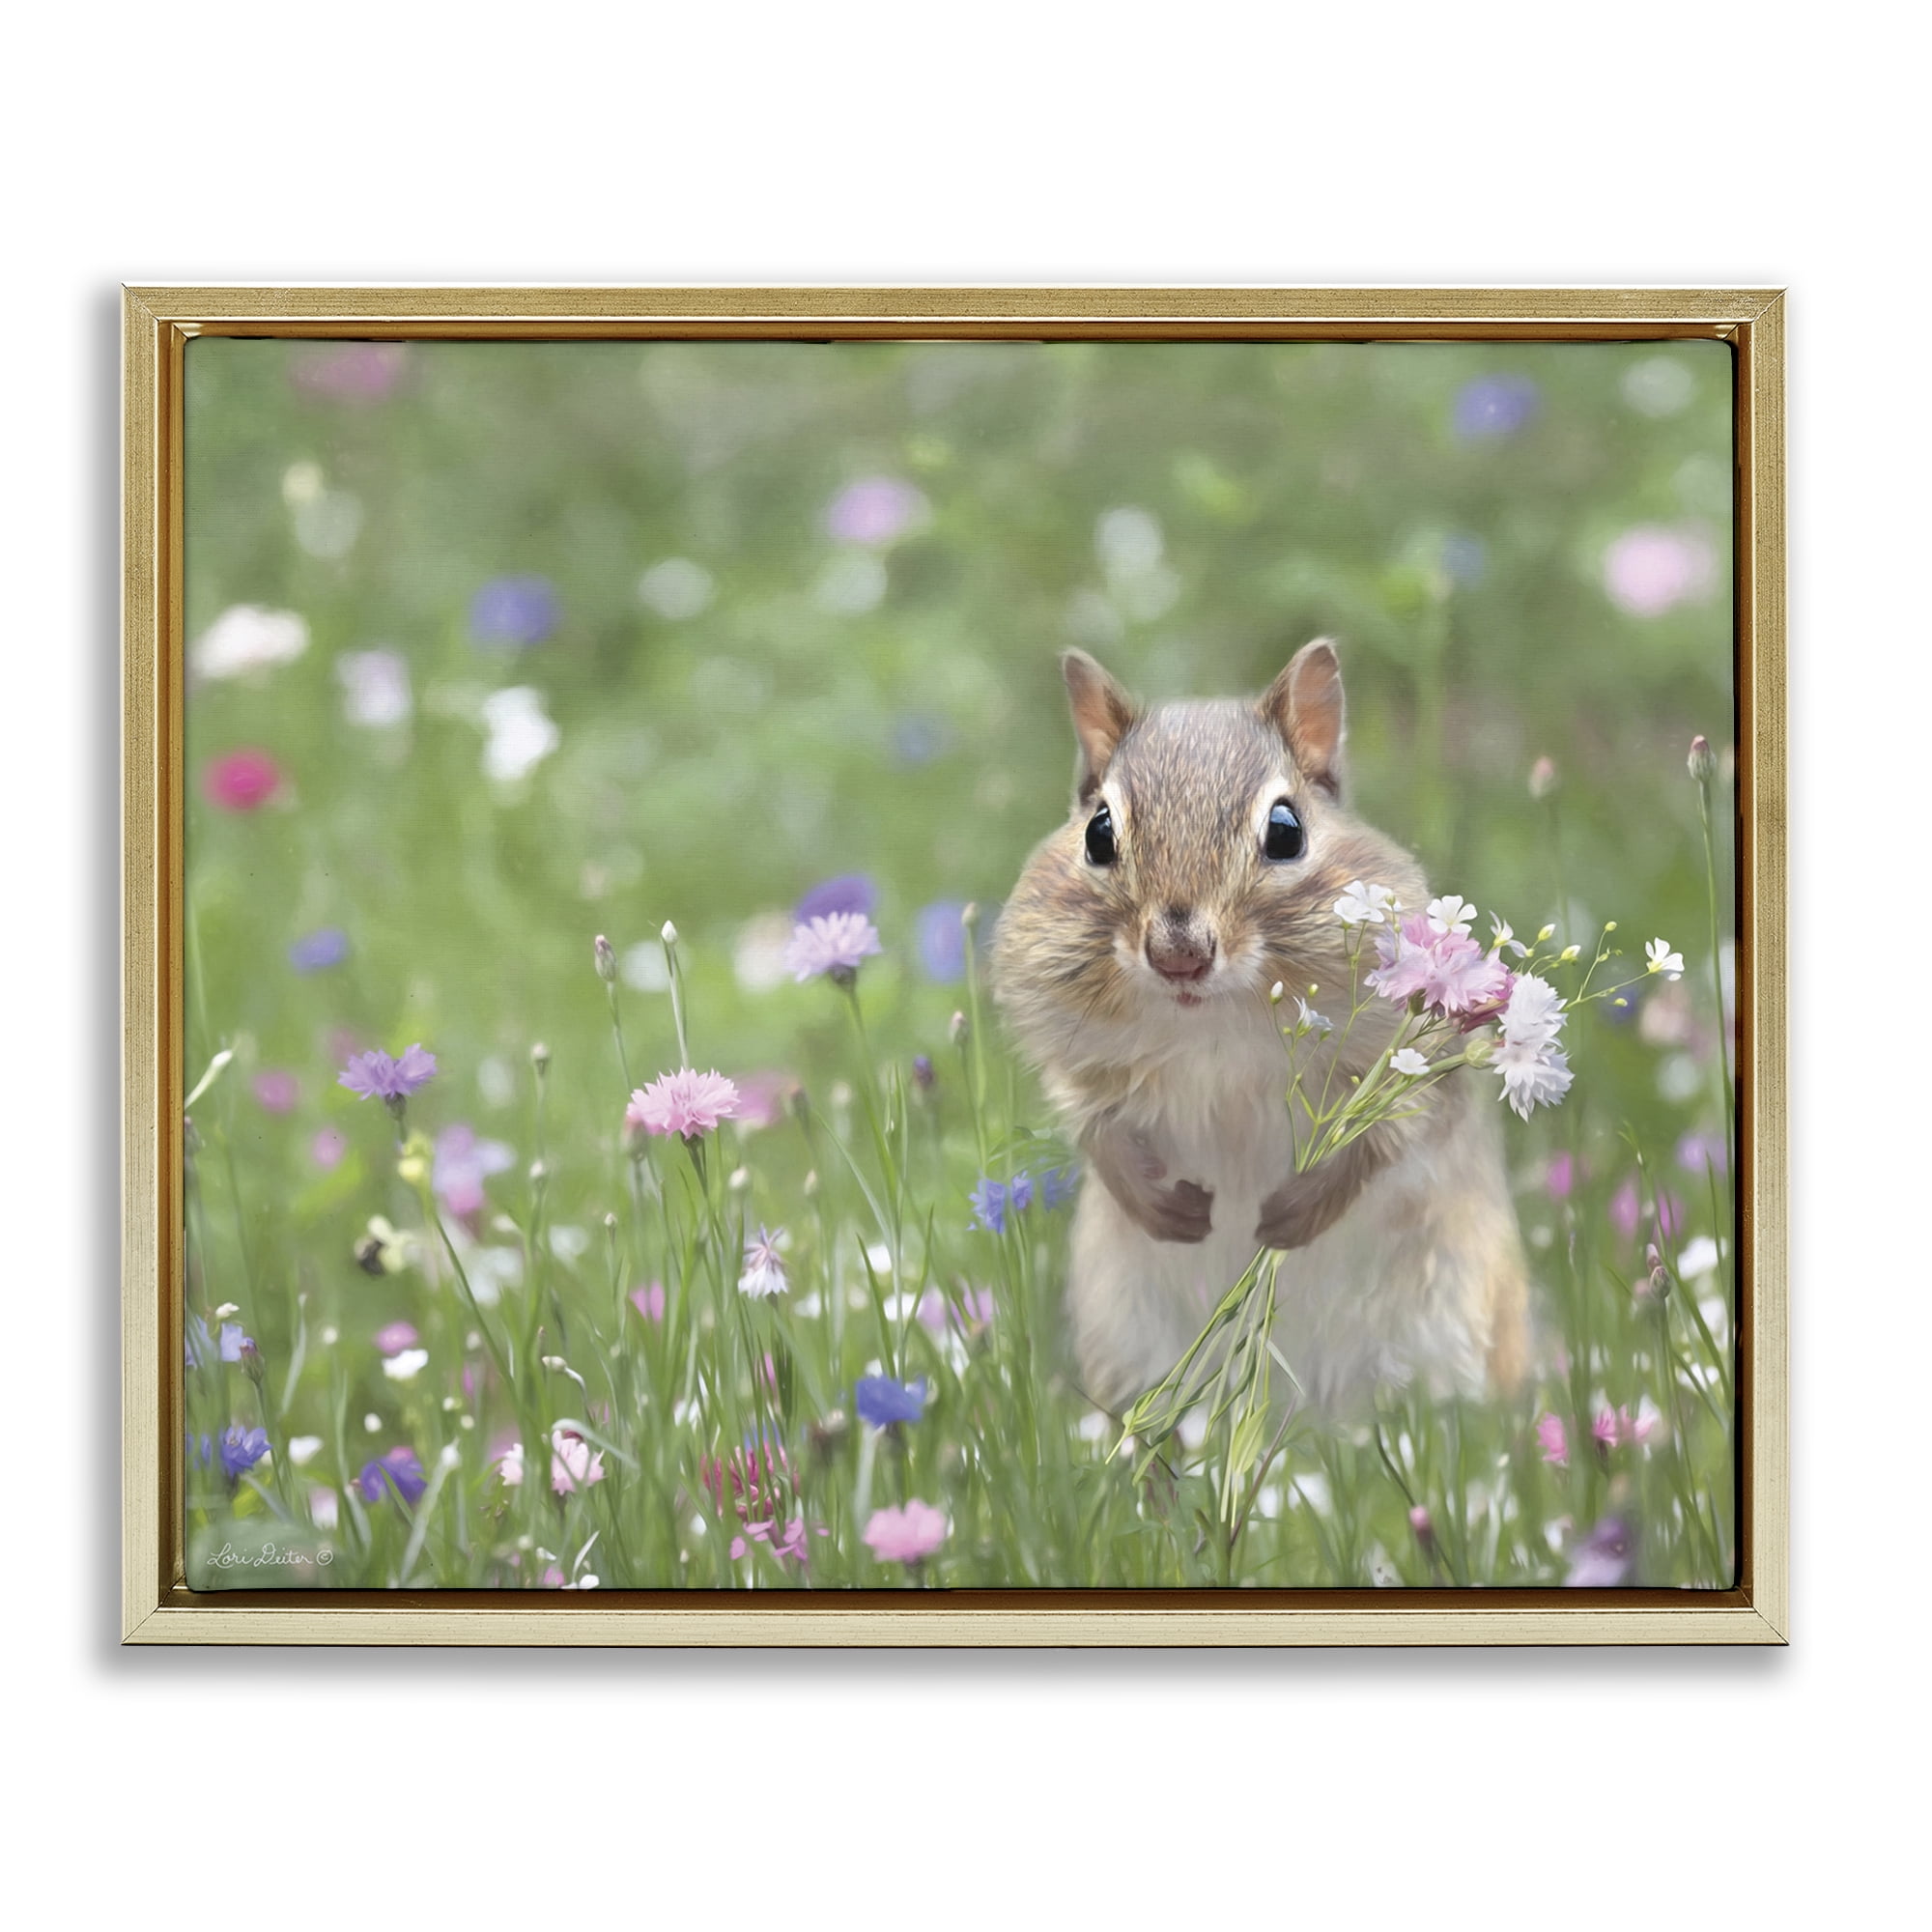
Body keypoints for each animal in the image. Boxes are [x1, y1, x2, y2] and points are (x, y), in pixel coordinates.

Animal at [991, 640, 1529, 1414]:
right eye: (1098, 833)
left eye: (1285, 831)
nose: (1179, 955)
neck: (1212, 1023)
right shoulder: (1077, 1059)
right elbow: (1094, 1127)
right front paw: (1164, 1209)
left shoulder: (1413, 1063)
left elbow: (1388, 1139)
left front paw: (1291, 1216)